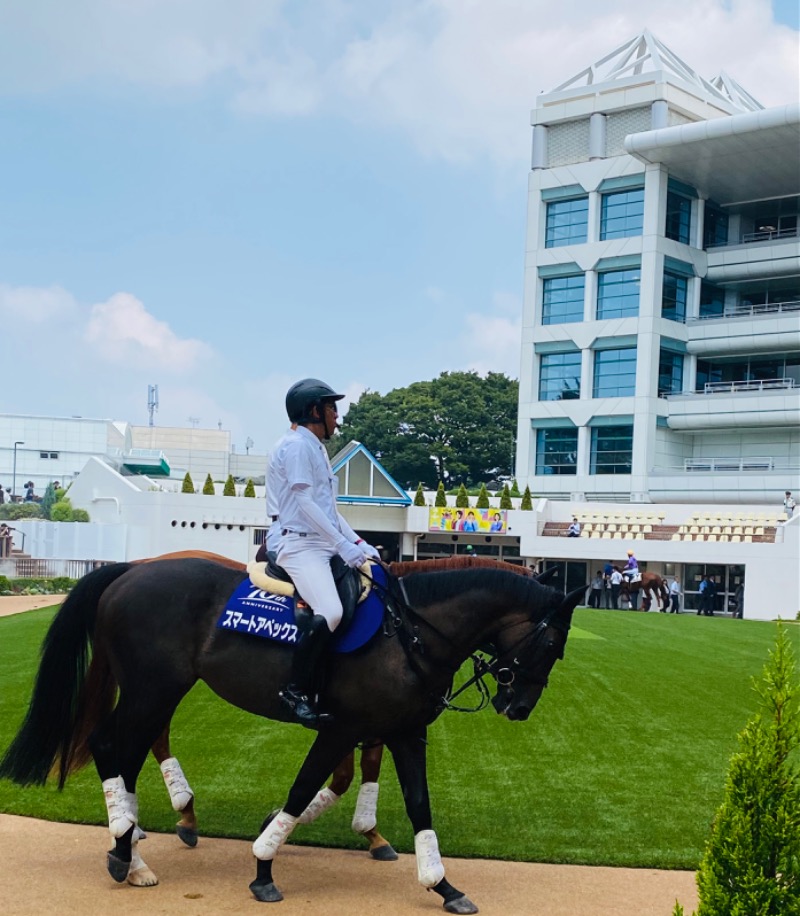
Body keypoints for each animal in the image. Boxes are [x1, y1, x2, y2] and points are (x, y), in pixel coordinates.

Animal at [3, 556, 584, 912]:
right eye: (552, 644)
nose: (519, 707)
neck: (407, 633)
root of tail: (129, 571)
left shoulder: (404, 733)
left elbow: (420, 807)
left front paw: (442, 884)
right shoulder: (341, 729)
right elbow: (302, 789)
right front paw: (263, 866)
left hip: (156, 693)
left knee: (124, 751)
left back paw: (134, 849)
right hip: (152, 690)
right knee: (109, 746)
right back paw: (127, 850)